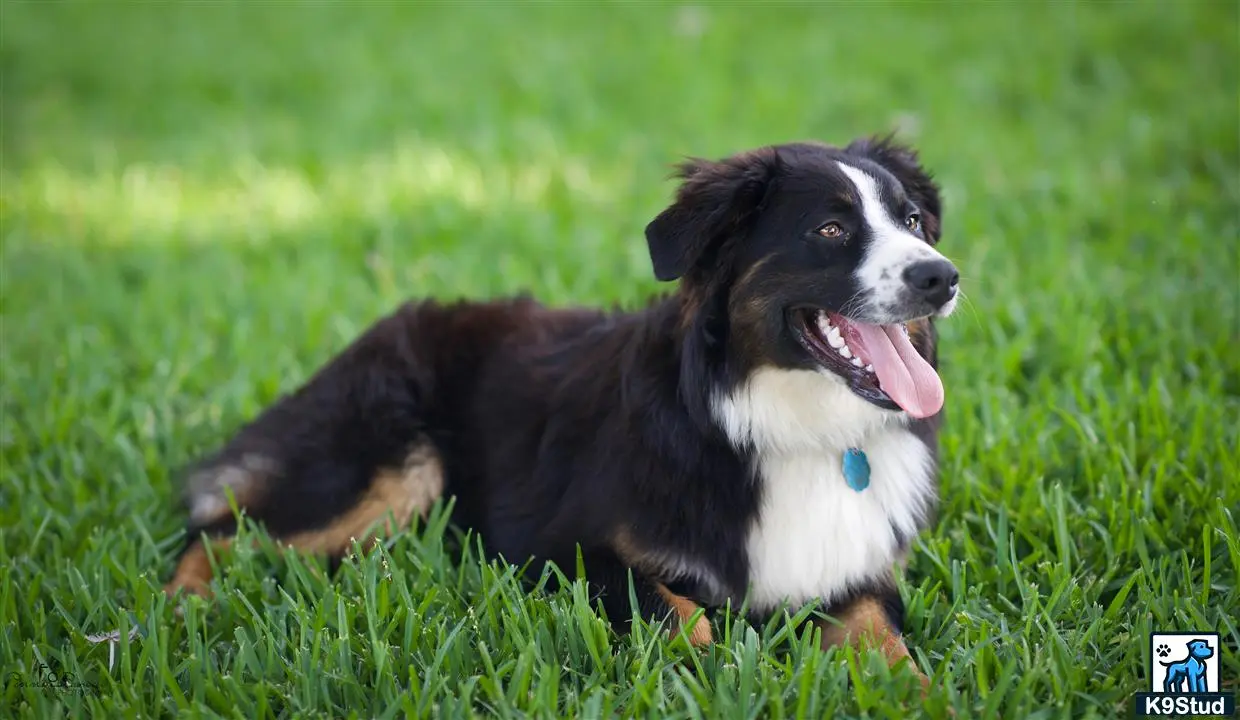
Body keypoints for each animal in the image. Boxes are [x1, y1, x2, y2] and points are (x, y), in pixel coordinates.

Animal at [164, 136, 957, 684]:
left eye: (914, 219)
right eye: (830, 229)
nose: (942, 277)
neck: (789, 427)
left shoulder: (857, 573)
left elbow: (889, 646)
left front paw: (925, 696)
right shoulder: (557, 549)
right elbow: (681, 615)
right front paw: (715, 673)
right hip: (383, 466)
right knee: (220, 530)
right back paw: (179, 609)